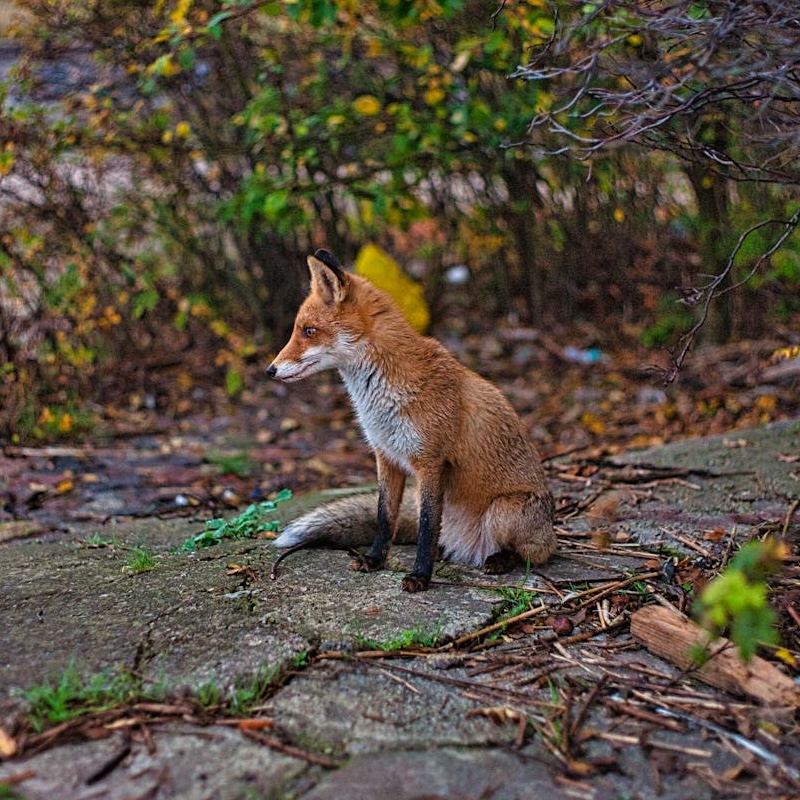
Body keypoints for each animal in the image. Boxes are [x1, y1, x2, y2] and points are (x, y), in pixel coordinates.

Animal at [266, 249, 556, 592]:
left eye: (309, 331)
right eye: (299, 330)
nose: (270, 370)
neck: (381, 396)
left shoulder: (430, 462)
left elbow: (426, 528)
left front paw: (420, 576)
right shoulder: (386, 456)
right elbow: (385, 517)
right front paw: (375, 560)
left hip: (503, 513)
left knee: (530, 554)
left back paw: (499, 560)